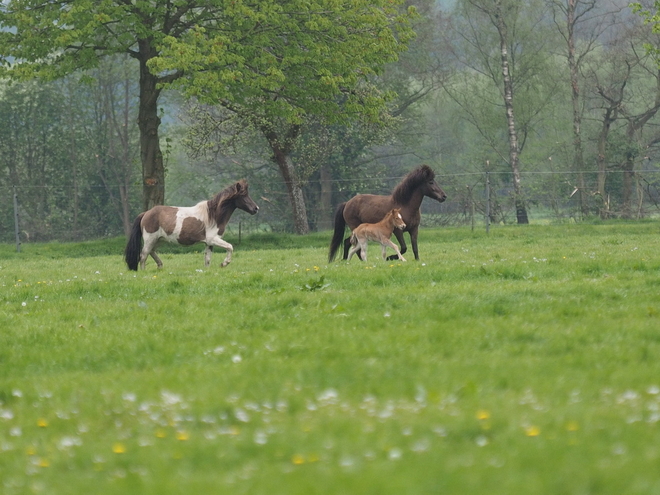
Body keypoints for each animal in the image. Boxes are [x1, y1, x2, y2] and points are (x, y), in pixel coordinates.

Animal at [125, 179, 260, 272]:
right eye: (243, 195)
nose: (256, 209)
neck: (213, 216)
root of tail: (146, 213)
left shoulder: (209, 243)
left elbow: (207, 260)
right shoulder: (213, 239)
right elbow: (230, 247)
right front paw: (224, 263)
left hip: (159, 240)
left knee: (151, 252)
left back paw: (160, 265)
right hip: (150, 239)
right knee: (143, 255)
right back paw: (144, 272)